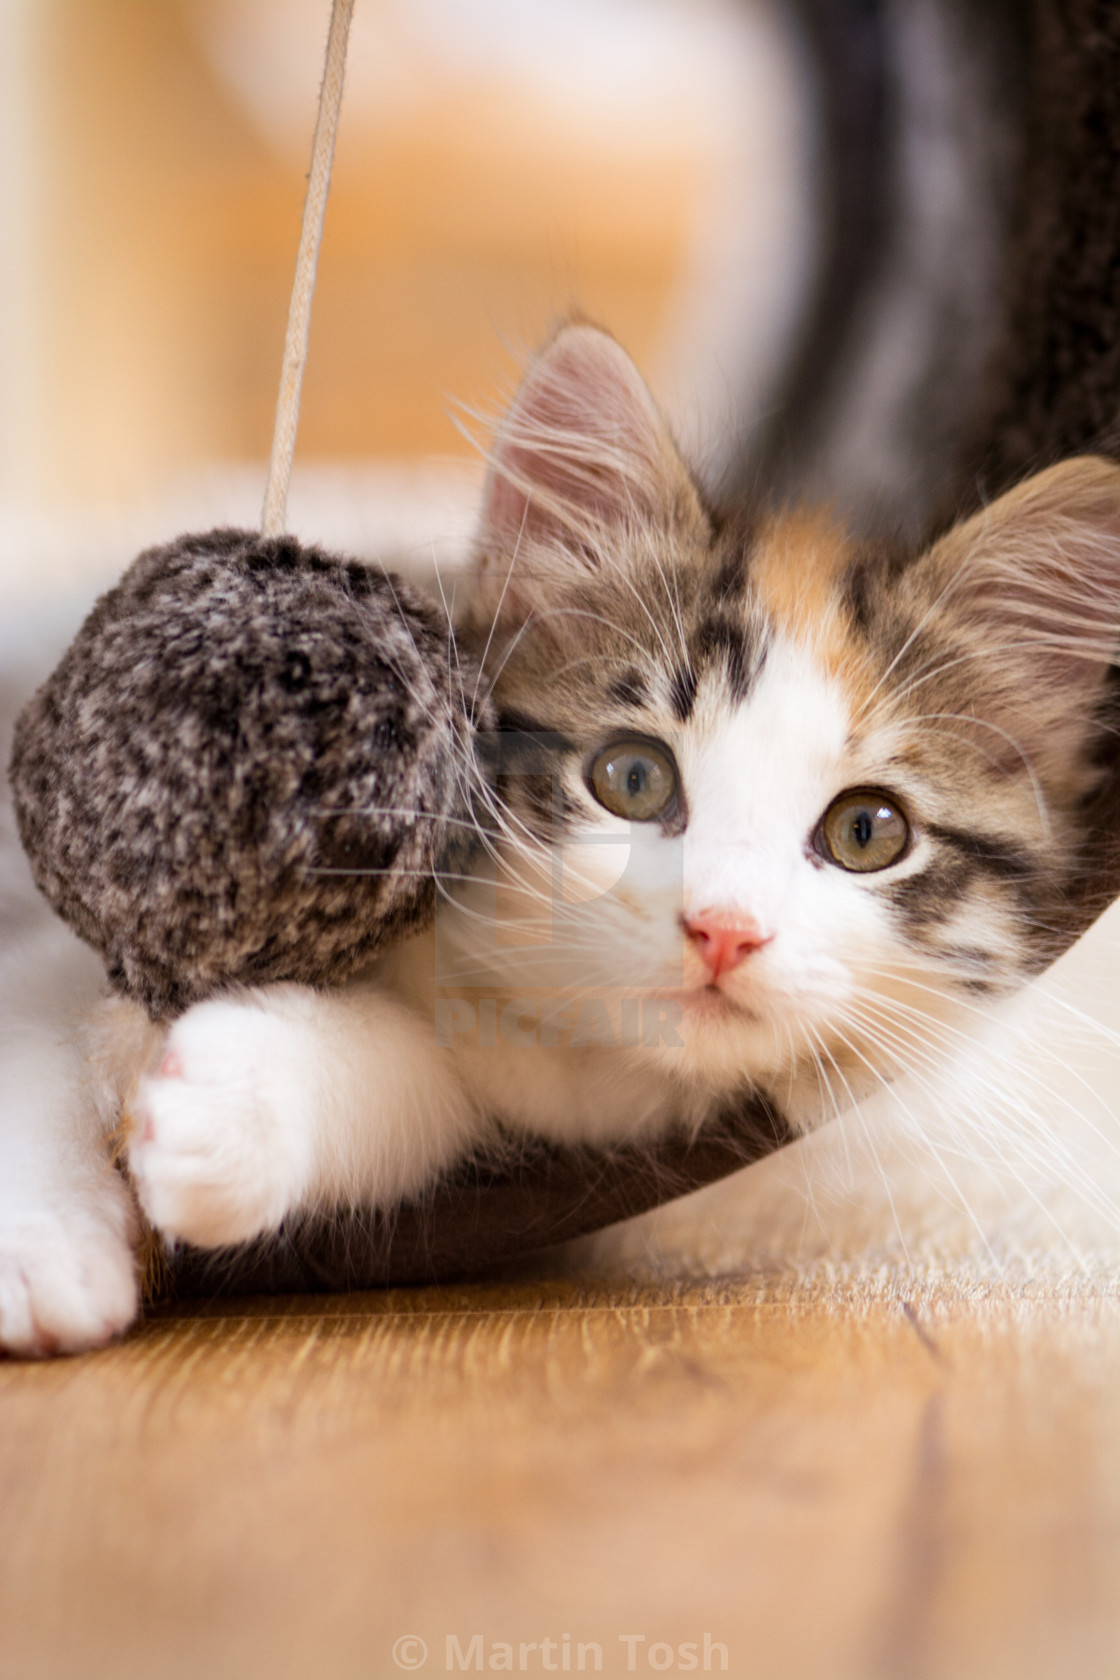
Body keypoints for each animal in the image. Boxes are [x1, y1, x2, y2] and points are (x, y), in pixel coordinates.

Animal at [4, 320, 1114, 1357]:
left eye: (866, 831)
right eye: (633, 777)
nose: (723, 929)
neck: (538, 1025)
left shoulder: (517, 1125)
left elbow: (402, 1090)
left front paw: (227, 1117)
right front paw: (41, 1254)